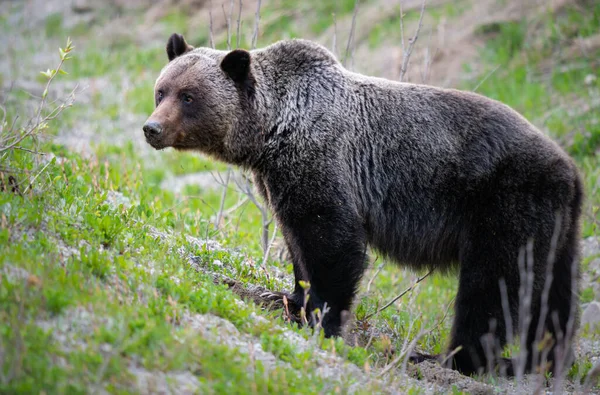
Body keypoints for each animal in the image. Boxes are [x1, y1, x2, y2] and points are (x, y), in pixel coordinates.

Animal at [144, 33, 580, 378]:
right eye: (162, 90)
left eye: (189, 96)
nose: (152, 128)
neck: (272, 133)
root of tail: (572, 172)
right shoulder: (277, 180)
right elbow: (298, 244)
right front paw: (290, 299)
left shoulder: (323, 162)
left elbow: (332, 242)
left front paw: (322, 320)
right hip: (556, 228)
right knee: (553, 297)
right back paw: (540, 360)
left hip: (506, 203)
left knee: (494, 285)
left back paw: (448, 359)